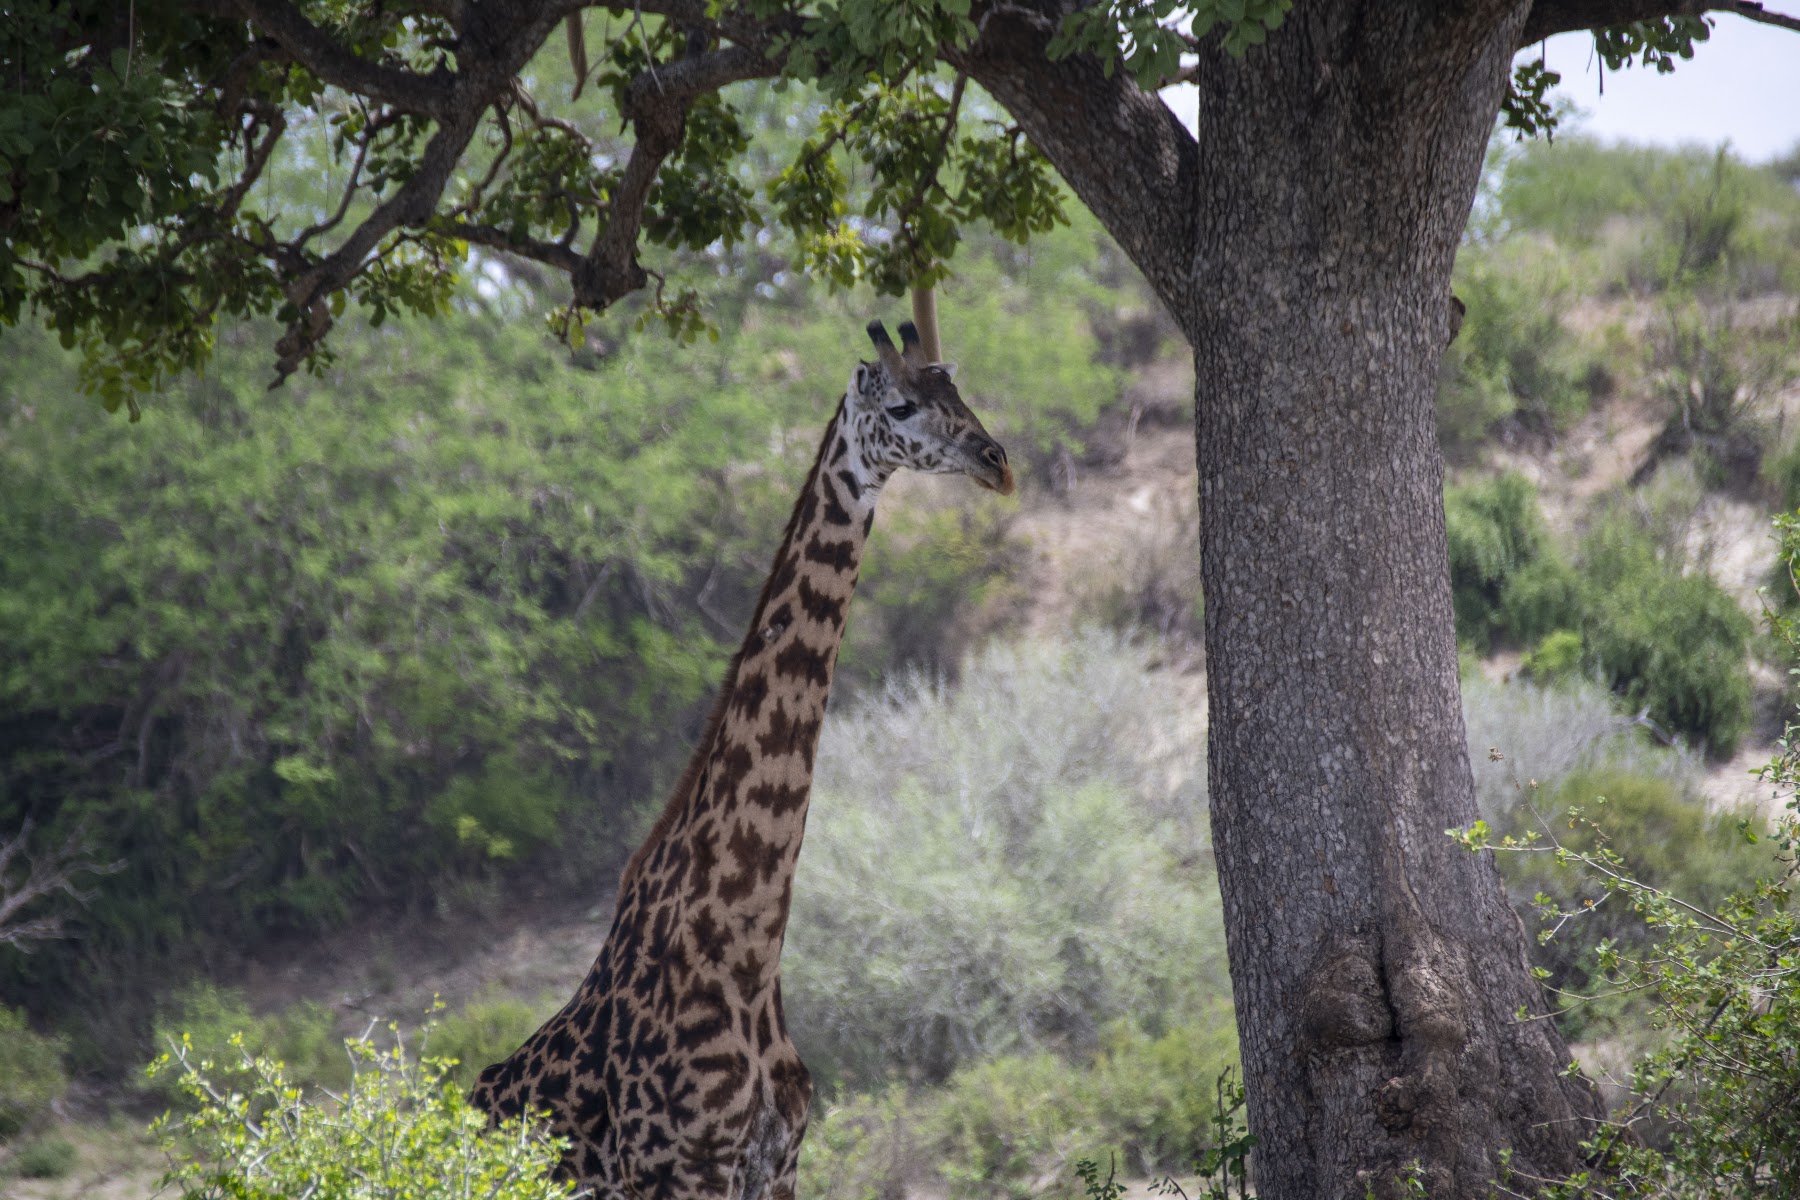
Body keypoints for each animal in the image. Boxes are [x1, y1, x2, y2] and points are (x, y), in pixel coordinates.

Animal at [471, 319, 1014, 1199]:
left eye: (957, 392)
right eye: (901, 406)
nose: (997, 462)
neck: (745, 949)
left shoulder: (778, 1164)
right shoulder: (680, 1172)